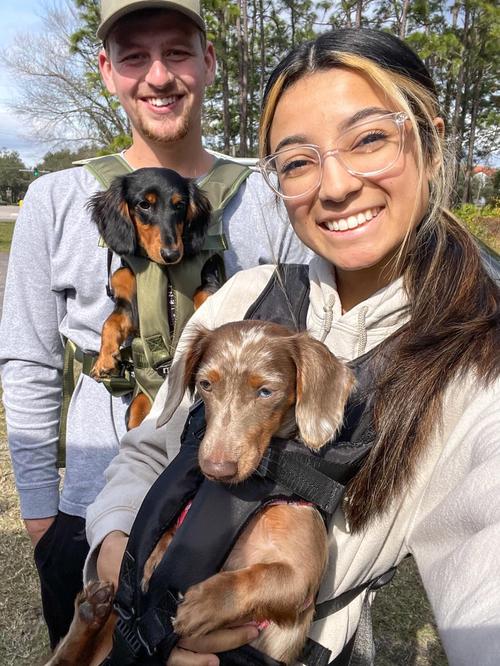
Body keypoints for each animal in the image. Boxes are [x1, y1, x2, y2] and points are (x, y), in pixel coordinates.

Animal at [46, 320, 352, 660]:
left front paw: (203, 605)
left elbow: (256, 577)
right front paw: (157, 556)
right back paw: (89, 611)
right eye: (205, 384)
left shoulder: (301, 580)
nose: (216, 468)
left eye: (266, 391)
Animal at [86, 166, 219, 426]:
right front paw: (104, 360)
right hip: (138, 404)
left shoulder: (210, 277)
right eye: (144, 205)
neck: (162, 268)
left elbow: (203, 295)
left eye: (179, 205)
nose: (172, 254)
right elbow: (110, 323)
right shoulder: (127, 305)